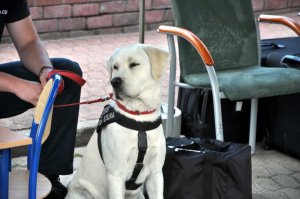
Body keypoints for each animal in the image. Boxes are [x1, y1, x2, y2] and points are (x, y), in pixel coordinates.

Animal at [66, 44, 169, 198]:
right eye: (115, 67)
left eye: (134, 64)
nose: (114, 81)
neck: (139, 118)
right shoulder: (116, 175)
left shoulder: (156, 173)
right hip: (83, 193)